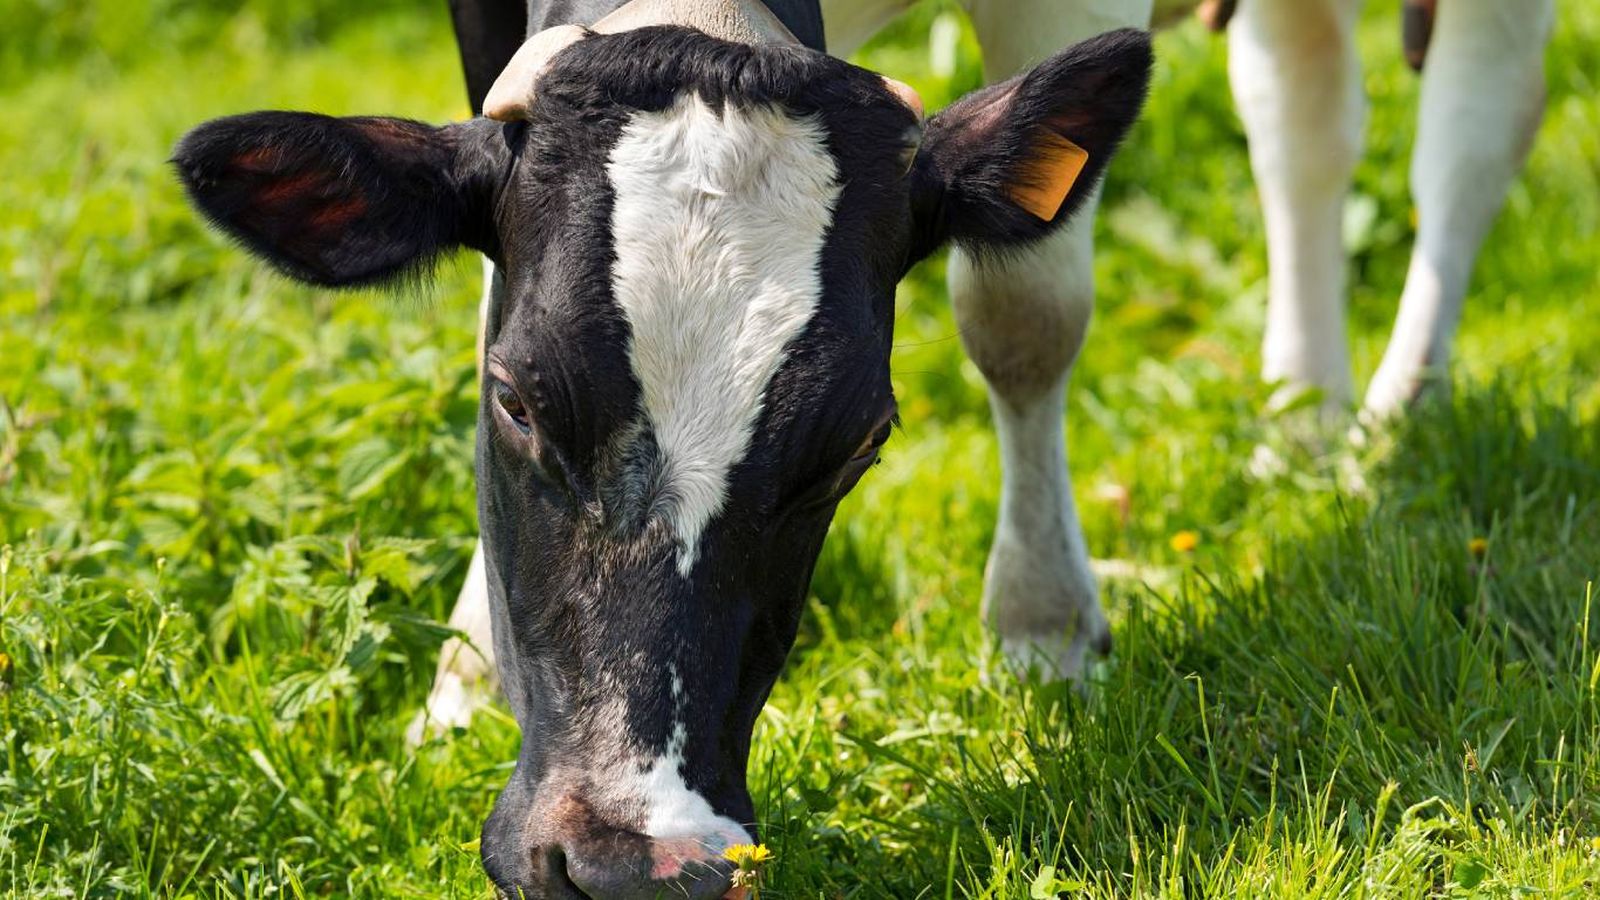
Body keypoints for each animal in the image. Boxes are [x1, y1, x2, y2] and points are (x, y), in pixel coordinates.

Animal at [174, 0, 1153, 894]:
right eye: (514, 400)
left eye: (861, 443)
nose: (636, 866)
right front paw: (461, 683)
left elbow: (1027, 313)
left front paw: (1044, 626)